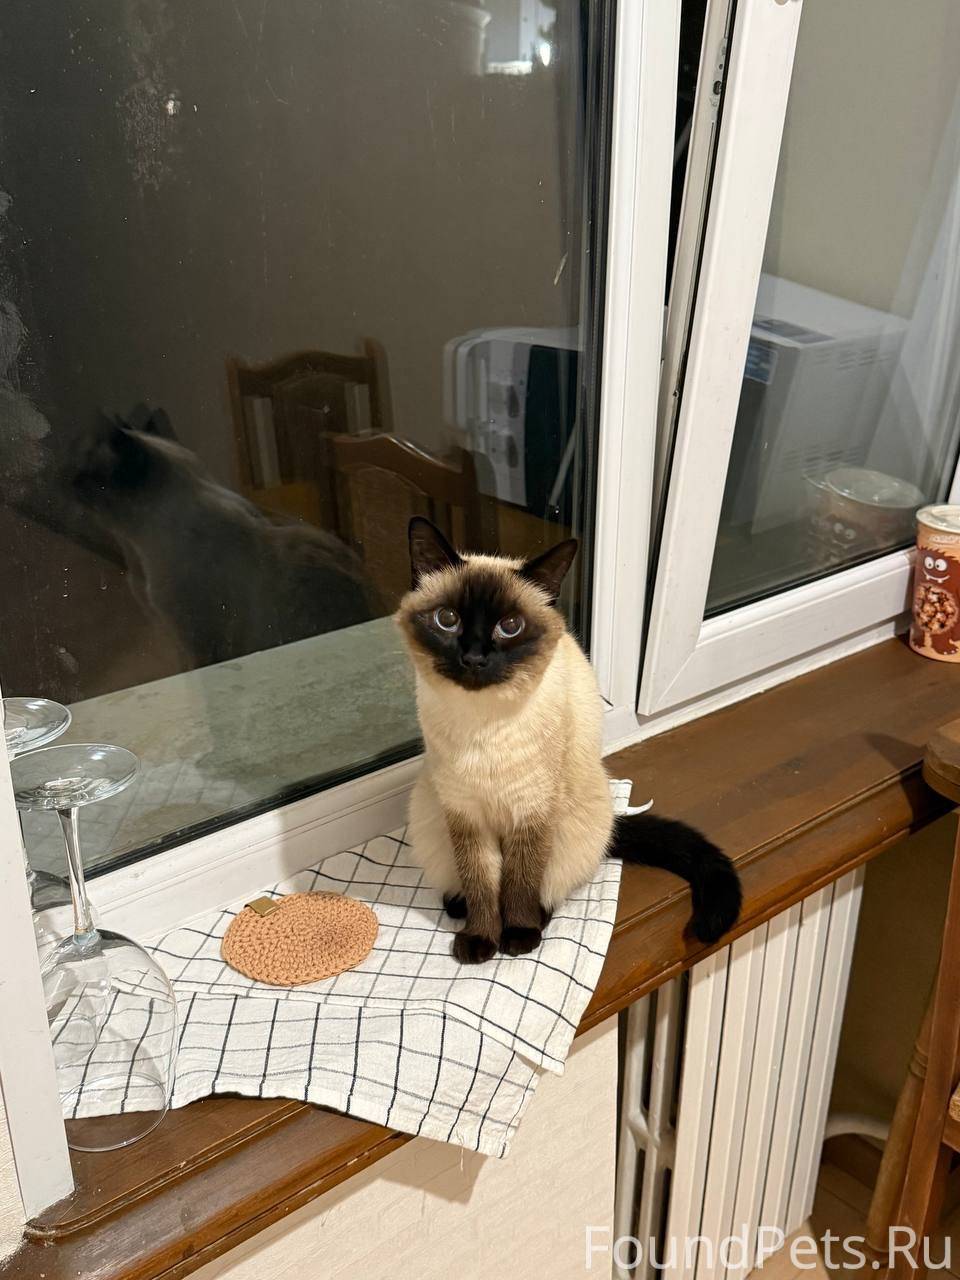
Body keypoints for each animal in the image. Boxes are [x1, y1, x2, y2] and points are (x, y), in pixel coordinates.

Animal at [69, 407, 378, 668]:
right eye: (76, 471)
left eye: (84, 473)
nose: (66, 480)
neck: (136, 553)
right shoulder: (173, 635)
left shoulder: (195, 638)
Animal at [395, 517, 742, 964]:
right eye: (447, 619)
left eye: (510, 627)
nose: (473, 659)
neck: (483, 725)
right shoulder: (467, 815)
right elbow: (483, 884)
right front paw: (481, 940)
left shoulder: (533, 811)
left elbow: (520, 882)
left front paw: (517, 937)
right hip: (429, 814)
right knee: (463, 885)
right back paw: (459, 908)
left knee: (549, 887)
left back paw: (532, 921)